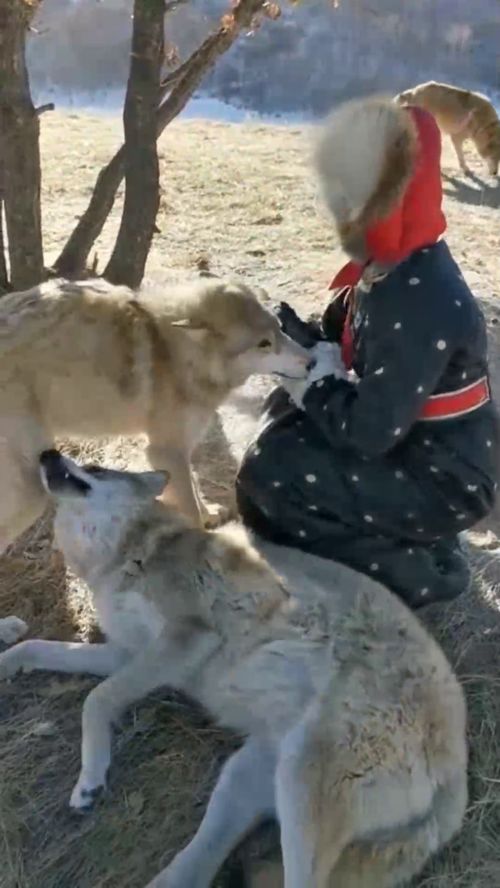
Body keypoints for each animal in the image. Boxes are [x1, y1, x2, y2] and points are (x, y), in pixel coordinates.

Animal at [0, 274, 310, 640]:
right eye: (263, 344)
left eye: (279, 329)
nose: (311, 362)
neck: (173, 352)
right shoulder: (164, 448)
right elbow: (189, 512)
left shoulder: (175, 448)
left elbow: (192, 491)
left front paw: (210, 514)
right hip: (30, 493)